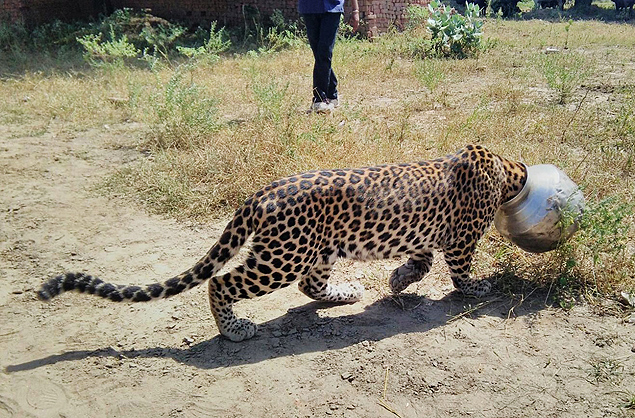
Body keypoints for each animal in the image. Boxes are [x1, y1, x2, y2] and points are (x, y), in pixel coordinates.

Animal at [37, 145, 528, 342]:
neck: (504, 166)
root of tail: (259, 194)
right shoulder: (461, 240)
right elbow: (460, 272)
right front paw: (479, 287)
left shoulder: (427, 237)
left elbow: (420, 262)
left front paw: (396, 280)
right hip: (282, 256)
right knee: (221, 282)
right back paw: (234, 330)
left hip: (319, 249)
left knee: (310, 286)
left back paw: (348, 293)